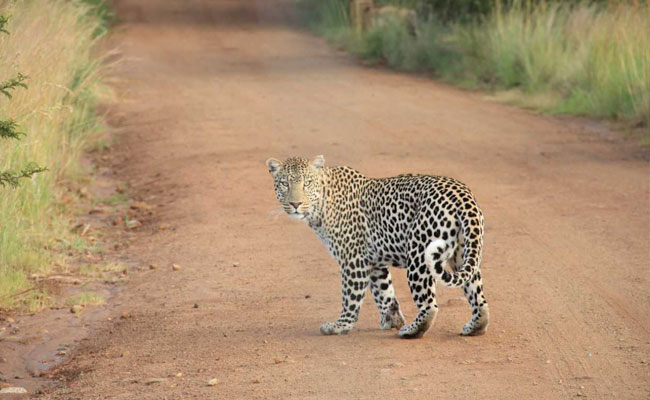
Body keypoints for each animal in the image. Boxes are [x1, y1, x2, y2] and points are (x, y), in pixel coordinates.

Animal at [265, 155, 489, 338]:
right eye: (284, 184)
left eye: (307, 183)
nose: (295, 204)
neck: (321, 205)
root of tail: (463, 196)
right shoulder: (374, 262)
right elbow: (384, 292)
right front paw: (392, 319)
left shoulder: (353, 260)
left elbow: (351, 296)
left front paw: (340, 326)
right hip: (463, 254)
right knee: (478, 296)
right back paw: (474, 327)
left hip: (419, 255)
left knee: (429, 305)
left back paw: (411, 331)